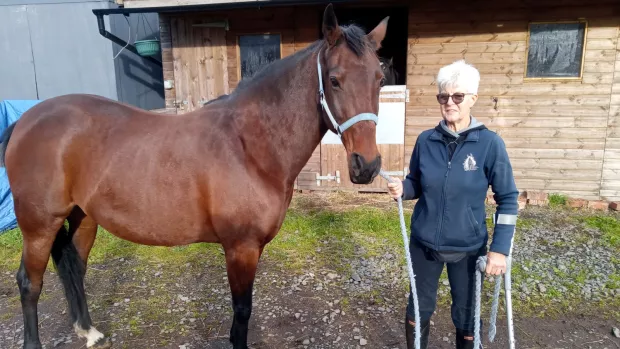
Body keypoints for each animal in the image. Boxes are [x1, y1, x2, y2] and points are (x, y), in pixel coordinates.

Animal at [0, 4, 388, 348]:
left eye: (380, 78)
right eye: (334, 80)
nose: (366, 165)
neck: (250, 145)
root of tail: (26, 119)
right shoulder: (241, 248)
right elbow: (242, 313)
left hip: (83, 218)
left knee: (74, 268)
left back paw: (90, 332)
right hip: (39, 225)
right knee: (29, 283)